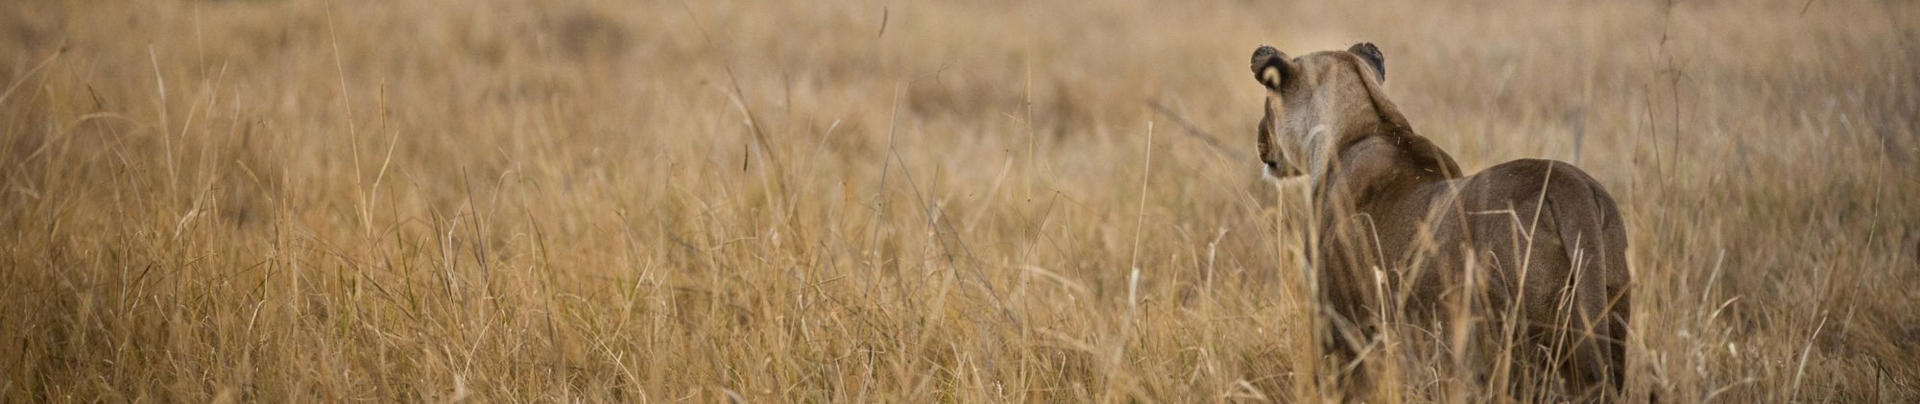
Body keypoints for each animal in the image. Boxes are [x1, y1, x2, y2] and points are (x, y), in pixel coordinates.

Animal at [1251, 43, 1631, 402]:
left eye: (1268, 98)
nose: (1260, 139)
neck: (1366, 125)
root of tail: (1572, 189)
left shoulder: (1338, 321)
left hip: (1519, 346)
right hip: (1611, 321)